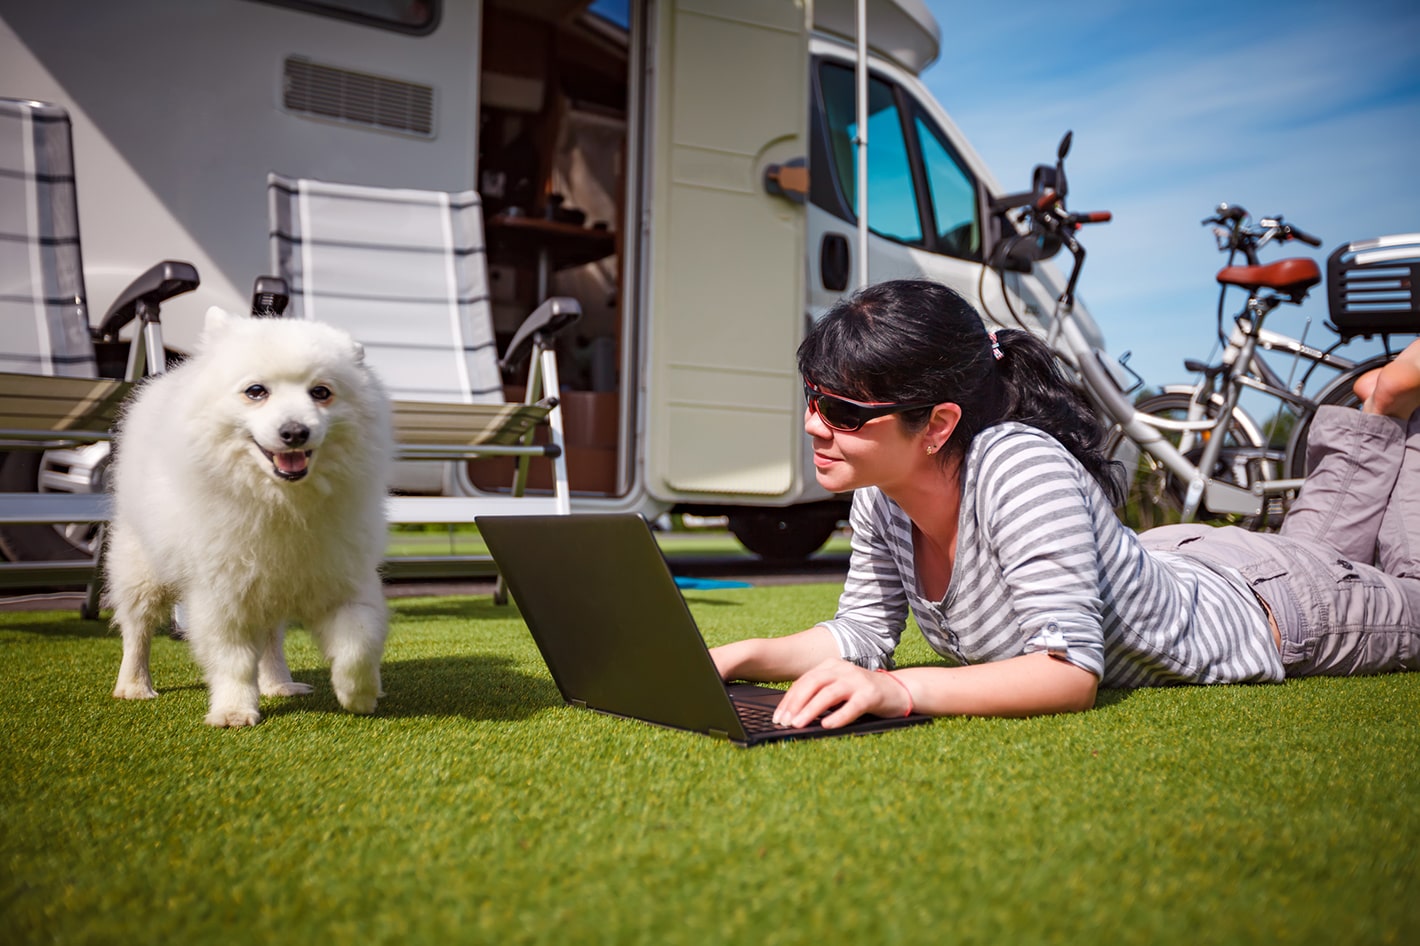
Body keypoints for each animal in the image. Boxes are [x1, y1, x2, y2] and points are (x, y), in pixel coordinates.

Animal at [108, 305, 394, 724]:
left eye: (321, 392)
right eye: (256, 392)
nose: (295, 431)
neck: (282, 503)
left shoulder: (344, 580)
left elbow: (359, 641)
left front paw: (359, 693)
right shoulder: (221, 596)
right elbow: (234, 661)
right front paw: (233, 710)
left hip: (268, 590)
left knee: (272, 641)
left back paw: (278, 684)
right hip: (140, 568)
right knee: (136, 630)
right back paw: (133, 686)